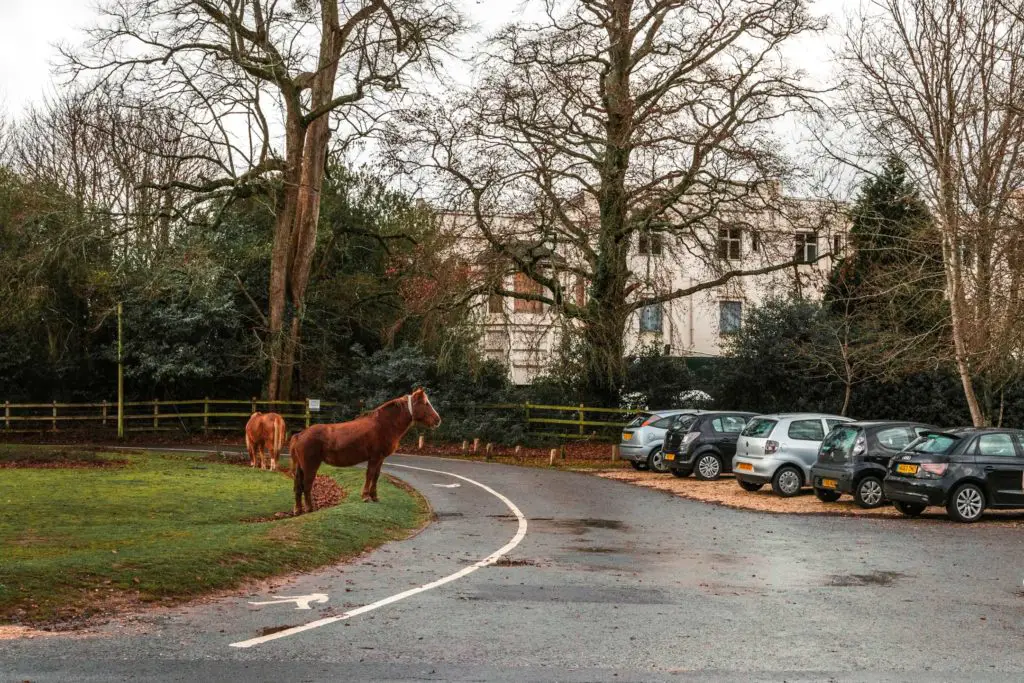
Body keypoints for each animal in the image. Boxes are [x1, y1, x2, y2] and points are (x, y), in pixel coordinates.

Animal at [292, 387, 444, 516]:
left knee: (298, 487)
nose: (438, 420)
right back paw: (310, 509)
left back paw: (298, 510)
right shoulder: (375, 457)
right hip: (310, 465)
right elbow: (370, 475)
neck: (383, 424)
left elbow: (376, 476)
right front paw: (366, 496)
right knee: (306, 485)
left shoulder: (381, 458)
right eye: (425, 403)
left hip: (301, 467)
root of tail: (300, 435)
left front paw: (374, 496)